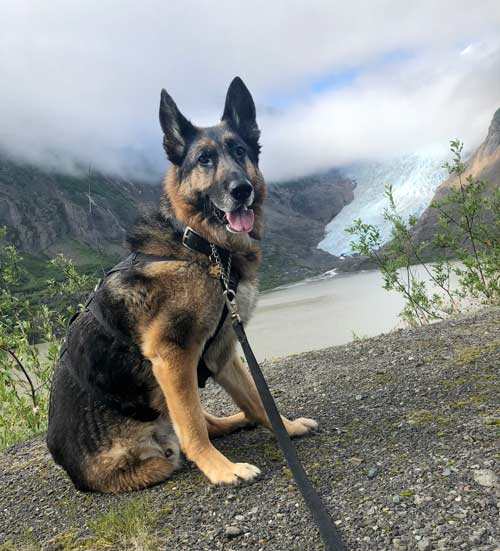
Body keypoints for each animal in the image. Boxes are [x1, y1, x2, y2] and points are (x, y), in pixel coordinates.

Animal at [47, 76, 316, 492]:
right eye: (204, 160)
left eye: (240, 151)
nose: (241, 190)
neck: (200, 246)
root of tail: (75, 475)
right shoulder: (173, 355)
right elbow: (192, 427)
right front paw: (220, 469)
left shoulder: (222, 350)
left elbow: (256, 400)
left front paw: (283, 427)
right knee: (186, 430)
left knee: (211, 419)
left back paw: (236, 422)